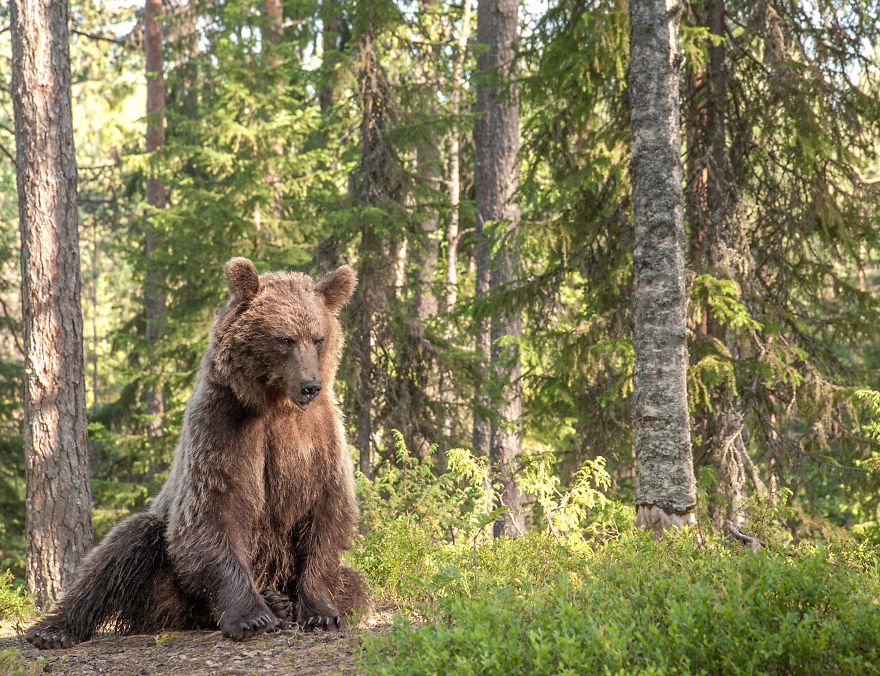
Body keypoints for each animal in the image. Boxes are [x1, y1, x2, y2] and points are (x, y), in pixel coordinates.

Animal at [26, 257, 369, 649]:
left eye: (319, 338)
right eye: (285, 339)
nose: (310, 386)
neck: (275, 405)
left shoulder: (318, 440)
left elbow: (325, 515)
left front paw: (321, 613)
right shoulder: (224, 428)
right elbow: (213, 512)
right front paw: (252, 617)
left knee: (356, 585)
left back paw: (281, 601)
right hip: (161, 580)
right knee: (120, 550)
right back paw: (53, 629)